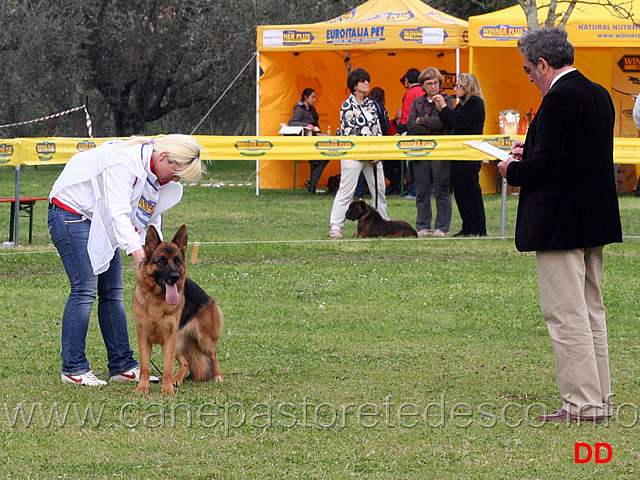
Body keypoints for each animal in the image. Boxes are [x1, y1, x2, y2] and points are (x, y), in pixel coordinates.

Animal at [131, 225, 224, 394]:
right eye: (161, 260)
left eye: (177, 260)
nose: (175, 276)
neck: (156, 300)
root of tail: (207, 296)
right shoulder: (143, 336)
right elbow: (145, 367)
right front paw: (142, 388)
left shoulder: (169, 338)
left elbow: (167, 368)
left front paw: (167, 391)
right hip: (180, 342)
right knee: (186, 362)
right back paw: (177, 379)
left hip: (203, 339)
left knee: (213, 353)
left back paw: (218, 375)